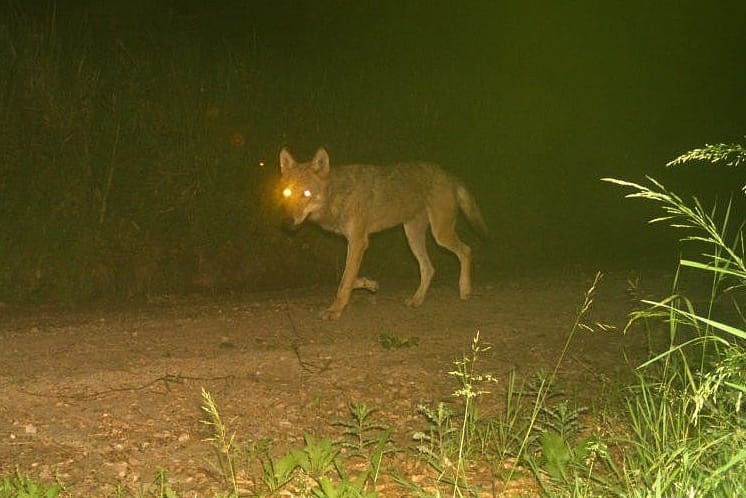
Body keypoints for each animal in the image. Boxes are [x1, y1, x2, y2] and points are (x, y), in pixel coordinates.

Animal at [276, 147, 486, 320]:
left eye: (307, 193)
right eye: (286, 193)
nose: (286, 223)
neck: (337, 194)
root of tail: (450, 175)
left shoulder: (359, 242)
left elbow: (344, 281)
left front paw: (335, 311)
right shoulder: (355, 243)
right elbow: (349, 278)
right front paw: (369, 284)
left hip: (440, 235)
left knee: (466, 250)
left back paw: (465, 289)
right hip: (413, 237)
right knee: (429, 268)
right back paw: (417, 300)